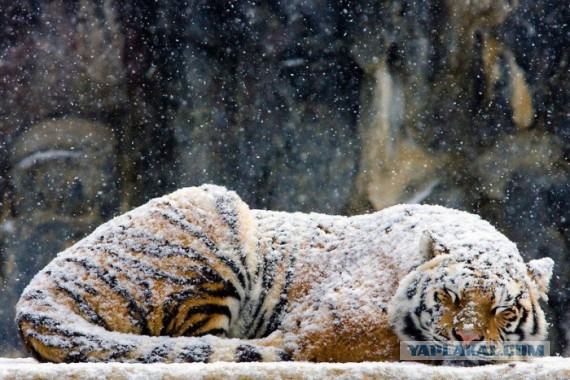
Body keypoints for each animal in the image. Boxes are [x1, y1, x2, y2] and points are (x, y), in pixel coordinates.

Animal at [16, 186, 552, 364]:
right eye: (447, 297)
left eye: (503, 310)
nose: (466, 339)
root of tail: (36, 291)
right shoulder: (324, 320)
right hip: (216, 213)